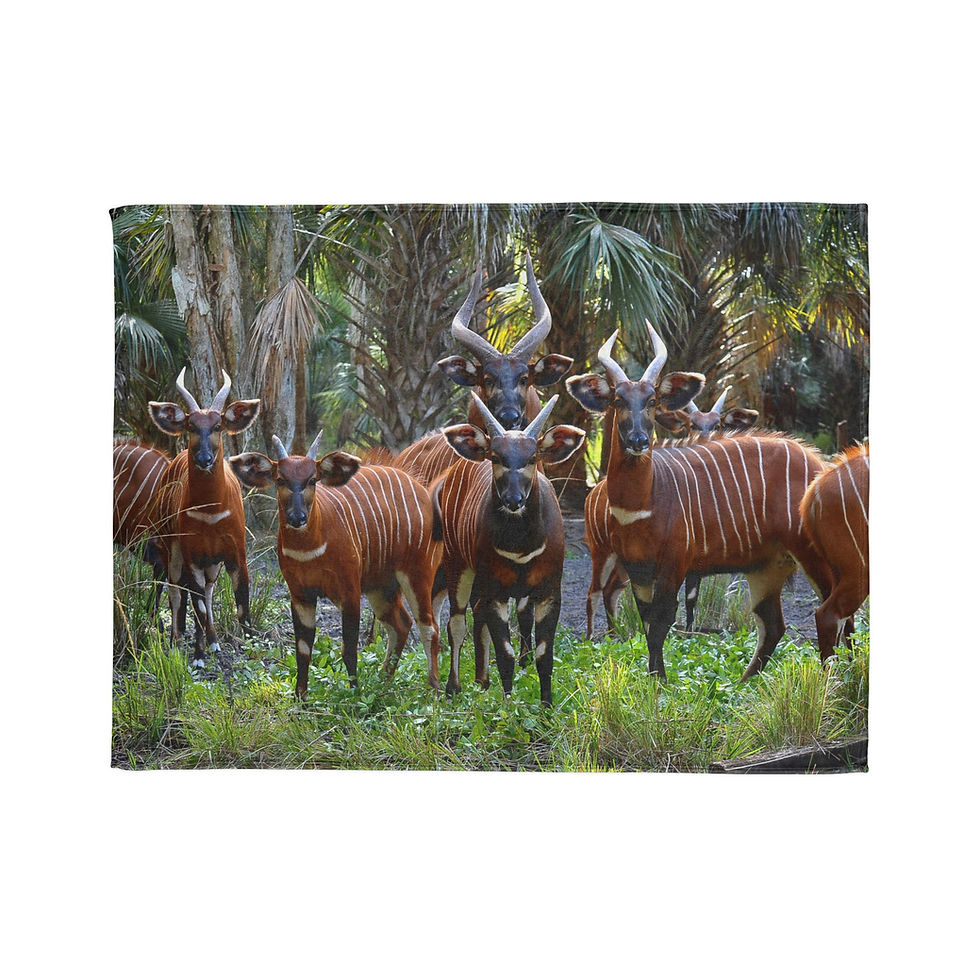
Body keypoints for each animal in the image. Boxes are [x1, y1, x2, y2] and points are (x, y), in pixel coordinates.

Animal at [148, 369, 260, 666]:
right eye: (190, 426)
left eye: (218, 426)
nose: (204, 458)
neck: (211, 512)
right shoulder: (191, 555)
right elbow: (194, 602)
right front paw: (197, 656)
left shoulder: (236, 554)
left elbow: (242, 606)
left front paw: (252, 652)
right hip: (171, 548)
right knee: (176, 590)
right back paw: (176, 641)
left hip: (213, 562)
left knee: (207, 591)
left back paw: (213, 641)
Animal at [230, 433, 443, 699]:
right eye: (280, 479)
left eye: (312, 479)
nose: (297, 517)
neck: (310, 550)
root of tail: (419, 486)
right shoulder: (300, 594)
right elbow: (303, 648)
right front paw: (300, 698)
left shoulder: (349, 591)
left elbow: (349, 647)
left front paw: (355, 695)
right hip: (381, 587)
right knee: (402, 624)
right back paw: (383, 682)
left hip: (418, 574)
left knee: (429, 626)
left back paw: (435, 689)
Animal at [434, 394, 585, 705]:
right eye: (496, 457)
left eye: (532, 457)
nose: (513, 499)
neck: (521, 547)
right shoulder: (496, 592)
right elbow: (506, 654)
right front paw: (508, 705)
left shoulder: (549, 592)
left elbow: (543, 654)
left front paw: (547, 705)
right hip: (457, 564)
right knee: (457, 623)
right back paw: (454, 687)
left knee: (479, 617)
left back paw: (482, 680)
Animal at [567, 327, 834, 680]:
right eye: (618, 400)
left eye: (652, 401)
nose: (638, 440)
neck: (640, 505)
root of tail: (820, 465)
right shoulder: (638, 567)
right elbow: (648, 621)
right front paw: (654, 678)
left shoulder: (675, 563)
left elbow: (662, 622)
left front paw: (660, 683)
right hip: (767, 566)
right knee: (774, 625)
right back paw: (742, 684)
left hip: (810, 554)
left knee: (832, 610)